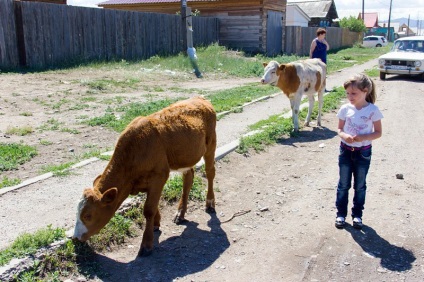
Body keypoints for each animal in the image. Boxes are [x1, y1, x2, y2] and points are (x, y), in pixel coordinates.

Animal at [71, 96, 217, 256]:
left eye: (88, 216)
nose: (74, 238)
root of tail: (199, 98)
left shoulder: (159, 176)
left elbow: (148, 209)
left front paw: (146, 244)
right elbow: (152, 205)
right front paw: (156, 223)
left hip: (211, 145)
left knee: (210, 172)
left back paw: (210, 203)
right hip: (187, 156)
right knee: (188, 178)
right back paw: (180, 213)